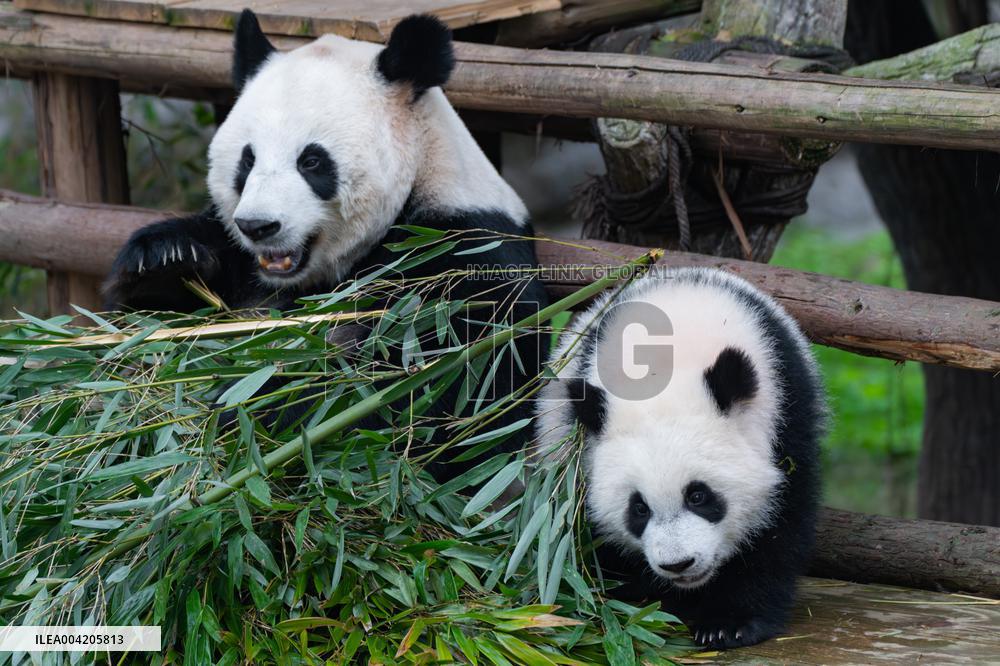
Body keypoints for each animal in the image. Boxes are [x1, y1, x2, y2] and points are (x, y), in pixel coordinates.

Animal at [104, 10, 548, 480]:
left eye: (312, 161)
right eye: (247, 160)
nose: (257, 225)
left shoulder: (464, 251)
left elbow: (447, 391)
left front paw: (252, 406)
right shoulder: (237, 261)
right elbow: (141, 333)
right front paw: (164, 262)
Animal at [534, 266, 825, 649]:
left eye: (698, 495)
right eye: (638, 508)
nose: (678, 564)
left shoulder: (787, 409)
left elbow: (779, 523)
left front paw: (729, 624)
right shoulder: (580, 453)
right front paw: (648, 605)